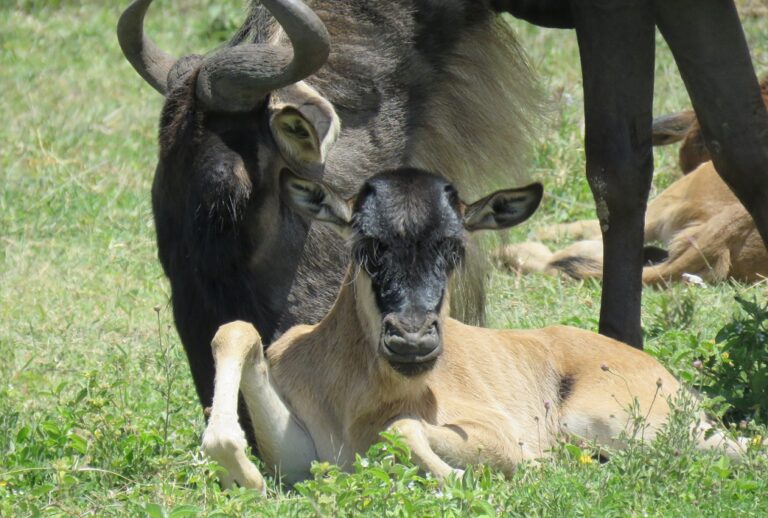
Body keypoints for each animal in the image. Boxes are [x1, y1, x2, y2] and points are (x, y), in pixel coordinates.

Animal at [201, 168, 742, 492]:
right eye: (366, 242)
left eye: (454, 246)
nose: (412, 340)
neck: (356, 402)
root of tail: (663, 373)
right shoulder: (300, 458)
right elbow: (236, 331)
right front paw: (245, 476)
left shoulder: (497, 435)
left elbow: (403, 429)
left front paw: (470, 479)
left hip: (624, 428)